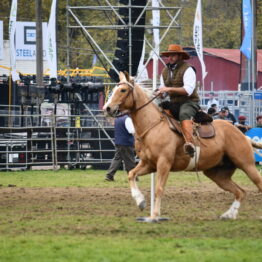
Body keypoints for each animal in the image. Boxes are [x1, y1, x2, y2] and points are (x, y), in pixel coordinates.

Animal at [103, 71, 262, 221]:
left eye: (123, 90)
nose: (107, 108)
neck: (152, 126)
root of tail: (243, 135)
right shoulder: (148, 164)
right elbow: (131, 174)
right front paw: (140, 201)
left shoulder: (164, 163)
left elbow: (159, 188)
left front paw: (155, 215)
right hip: (217, 174)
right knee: (240, 192)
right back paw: (229, 214)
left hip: (247, 165)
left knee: (257, 184)